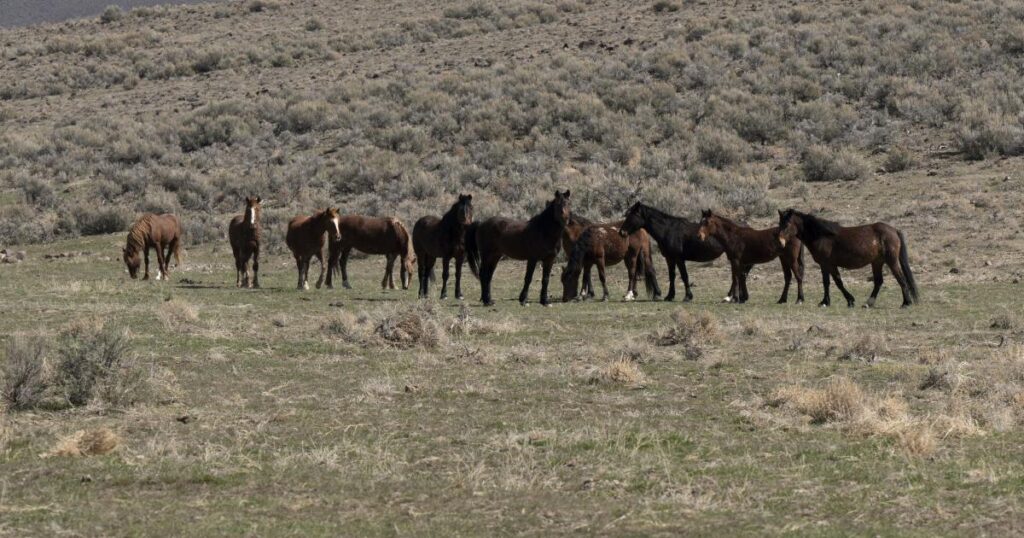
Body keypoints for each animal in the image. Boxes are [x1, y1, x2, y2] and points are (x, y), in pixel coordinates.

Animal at [777, 209, 919, 308]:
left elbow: (832, 282)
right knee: (879, 281)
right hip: (877, 262)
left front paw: (829, 302)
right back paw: (868, 303)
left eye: (787, 224)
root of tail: (894, 230)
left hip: (891, 261)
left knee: (901, 279)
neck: (821, 235)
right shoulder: (828, 265)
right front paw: (838, 301)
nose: (780, 242)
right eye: (779, 224)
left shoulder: (826, 264)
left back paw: (906, 303)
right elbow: (833, 282)